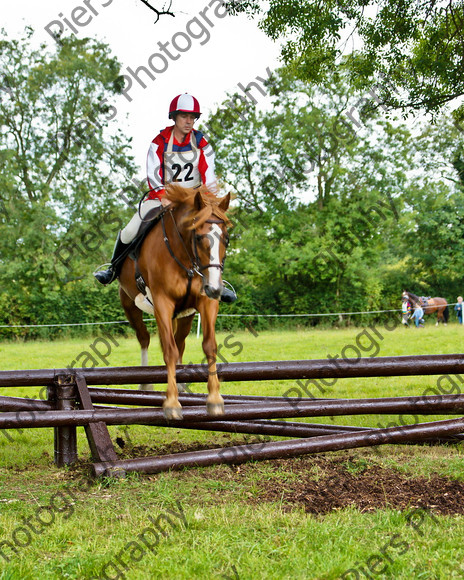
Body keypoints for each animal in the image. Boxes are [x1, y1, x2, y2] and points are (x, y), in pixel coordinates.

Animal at [118, 186, 230, 422]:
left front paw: (215, 399)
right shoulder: (162, 302)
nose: (215, 288)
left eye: (226, 238)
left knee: (180, 343)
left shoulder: (206, 302)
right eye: (199, 236)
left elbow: (209, 346)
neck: (185, 257)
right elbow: (168, 350)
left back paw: (181, 384)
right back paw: (145, 385)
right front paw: (171, 403)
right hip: (130, 305)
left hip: (185, 315)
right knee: (144, 338)